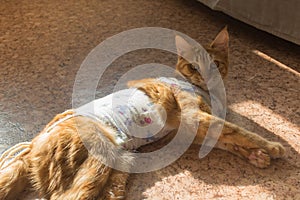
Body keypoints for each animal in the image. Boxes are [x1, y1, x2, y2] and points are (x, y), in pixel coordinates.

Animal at [0, 27, 284, 199]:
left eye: (214, 63)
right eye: (193, 66)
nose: (205, 74)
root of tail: (33, 144)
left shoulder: (193, 131)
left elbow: (229, 139)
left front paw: (257, 156)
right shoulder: (194, 119)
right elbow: (240, 131)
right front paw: (272, 146)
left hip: (118, 169)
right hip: (97, 164)